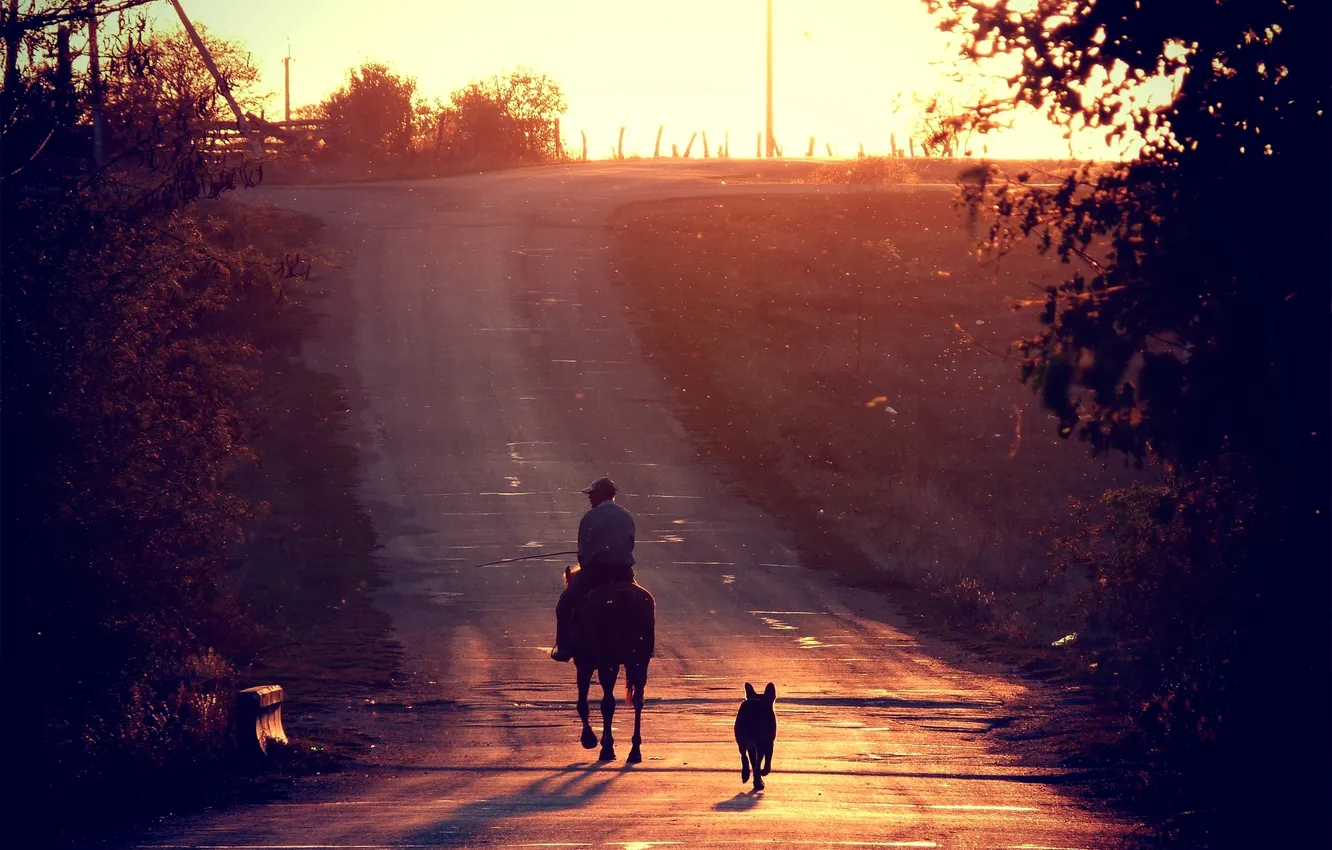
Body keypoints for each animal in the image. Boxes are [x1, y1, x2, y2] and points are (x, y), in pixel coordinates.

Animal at [564, 572, 658, 767]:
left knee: (608, 702)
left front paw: (589, 739)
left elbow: (583, 703)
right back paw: (634, 751)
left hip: (608, 662)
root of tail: (624, 596)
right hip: (639, 661)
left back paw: (607, 749)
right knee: (638, 700)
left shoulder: (583, 663)